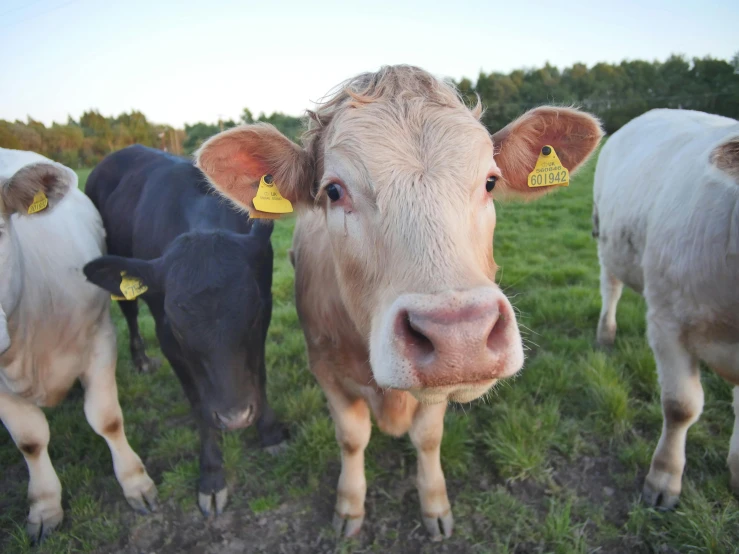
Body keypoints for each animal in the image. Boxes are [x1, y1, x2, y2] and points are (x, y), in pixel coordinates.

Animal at [82, 143, 286, 512]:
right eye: (177, 328)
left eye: (252, 315)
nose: (235, 417)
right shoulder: (167, 338)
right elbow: (198, 403)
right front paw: (212, 475)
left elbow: (259, 375)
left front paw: (270, 433)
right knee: (129, 311)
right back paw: (140, 360)